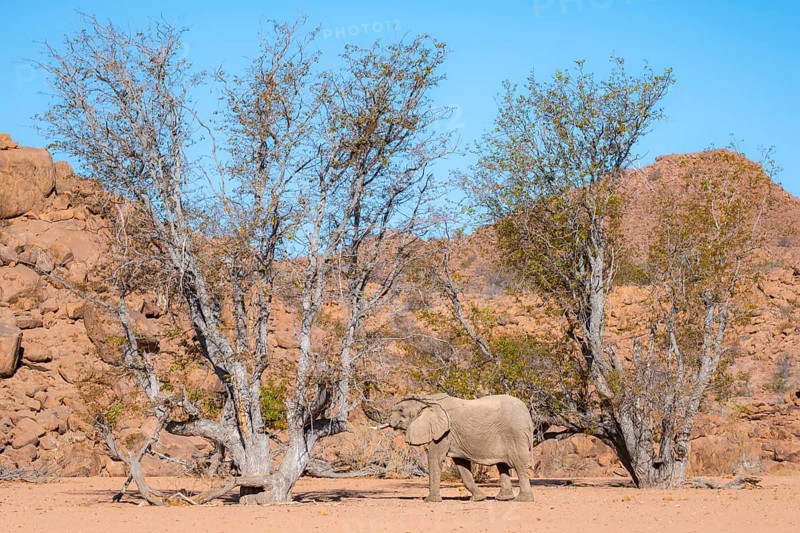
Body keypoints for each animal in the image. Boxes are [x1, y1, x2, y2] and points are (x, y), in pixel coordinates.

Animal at [386, 393, 534, 502]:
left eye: (401, 410)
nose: (390, 422)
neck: (427, 400)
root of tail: (527, 415)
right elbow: (462, 465)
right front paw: (479, 499)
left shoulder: (444, 432)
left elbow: (434, 457)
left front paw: (430, 501)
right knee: (502, 465)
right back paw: (503, 498)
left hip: (515, 434)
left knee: (519, 465)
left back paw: (522, 500)